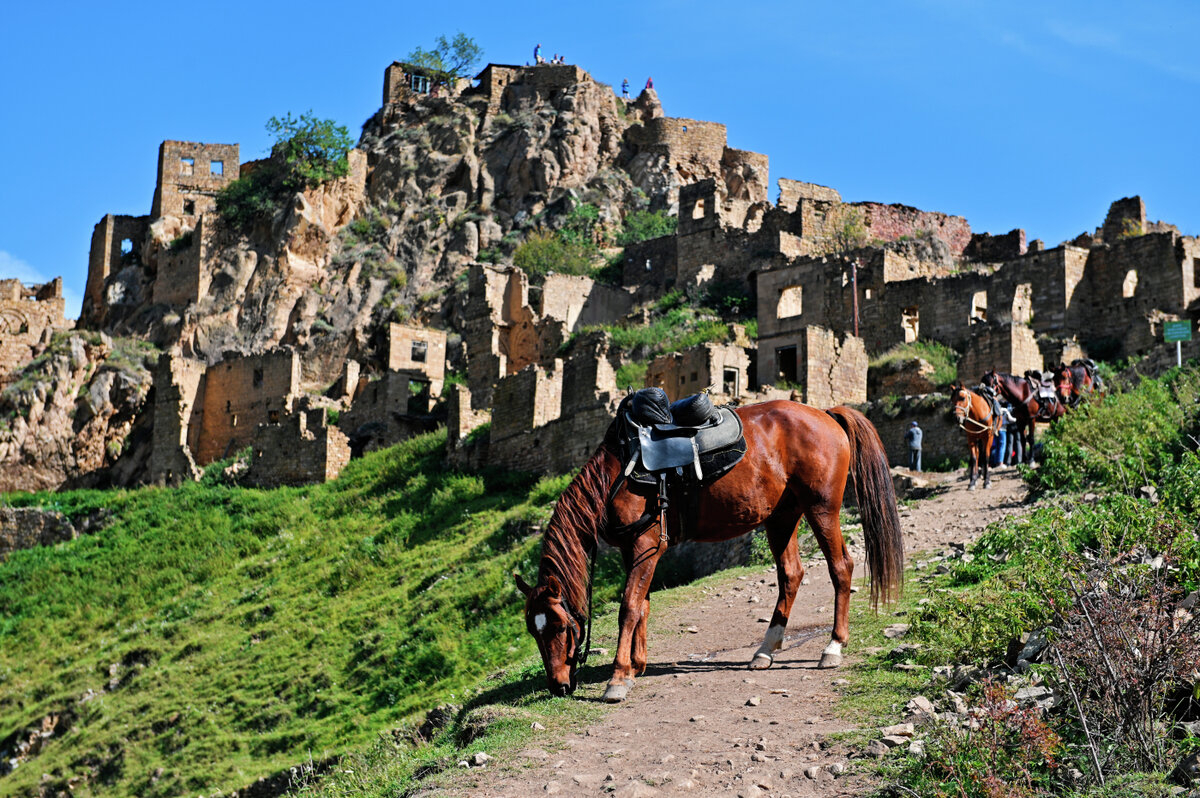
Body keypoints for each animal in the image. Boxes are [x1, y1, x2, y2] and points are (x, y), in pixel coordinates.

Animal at [513, 396, 902, 700]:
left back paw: (833, 646)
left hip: (821, 509)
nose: (559, 686)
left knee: (841, 567)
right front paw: (637, 665)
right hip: (781, 517)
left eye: (560, 626)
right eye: (533, 629)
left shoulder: (646, 545)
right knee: (791, 574)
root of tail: (825, 413)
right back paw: (765, 651)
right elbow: (643, 605)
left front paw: (619, 677)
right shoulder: (633, 551)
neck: (617, 475)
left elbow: (628, 607)